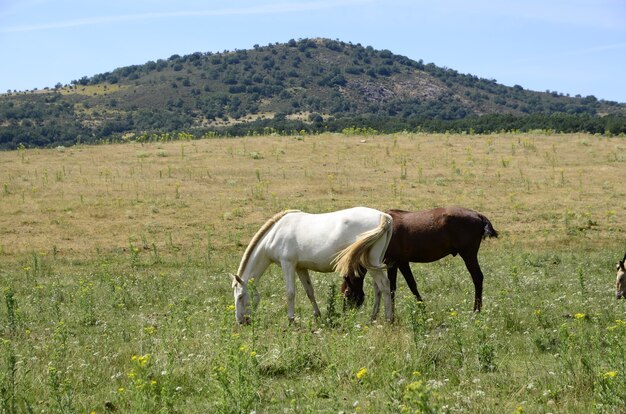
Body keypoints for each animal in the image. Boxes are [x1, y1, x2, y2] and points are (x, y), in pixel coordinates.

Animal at [232, 207, 392, 324]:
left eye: (240, 296)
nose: (240, 321)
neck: (275, 234)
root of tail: (383, 216)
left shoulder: (287, 264)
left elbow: (290, 293)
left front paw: (291, 320)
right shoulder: (300, 268)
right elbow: (310, 292)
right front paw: (317, 315)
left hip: (371, 265)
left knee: (384, 285)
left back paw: (388, 319)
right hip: (374, 265)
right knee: (378, 288)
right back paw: (373, 318)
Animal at [342, 207, 498, 310]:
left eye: (347, 293)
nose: (347, 313)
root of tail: (478, 215)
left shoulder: (392, 262)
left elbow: (392, 287)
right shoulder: (402, 262)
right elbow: (412, 284)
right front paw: (421, 307)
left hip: (468, 255)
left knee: (477, 278)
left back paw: (476, 309)